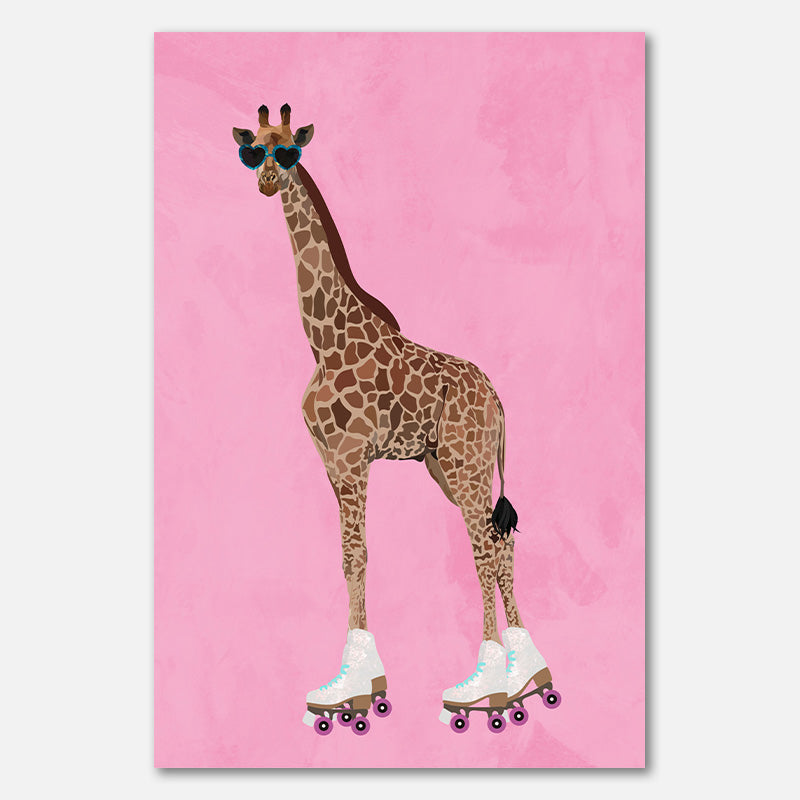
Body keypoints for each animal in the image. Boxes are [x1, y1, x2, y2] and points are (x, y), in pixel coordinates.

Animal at [232, 104, 560, 736]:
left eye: (289, 152)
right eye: (252, 150)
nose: (266, 181)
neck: (324, 339)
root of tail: (498, 399)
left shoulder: (353, 456)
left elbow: (358, 555)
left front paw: (358, 692)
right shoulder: (332, 462)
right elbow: (347, 557)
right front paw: (348, 686)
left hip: (466, 462)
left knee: (484, 547)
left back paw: (488, 691)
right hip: (445, 467)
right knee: (498, 542)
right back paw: (528, 677)